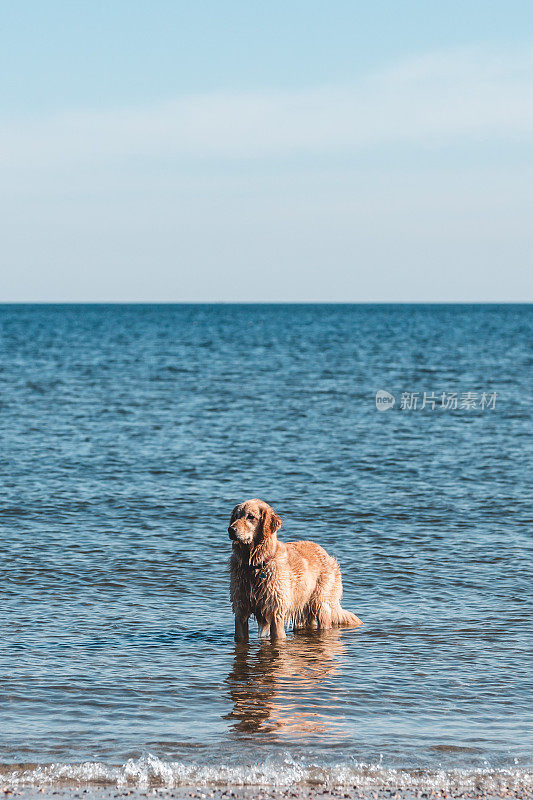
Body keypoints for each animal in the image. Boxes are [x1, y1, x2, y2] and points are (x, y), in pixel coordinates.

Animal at [229, 496, 362, 640]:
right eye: (236, 516)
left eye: (250, 517)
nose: (231, 529)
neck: (255, 565)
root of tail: (326, 553)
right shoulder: (240, 611)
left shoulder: (276, 612)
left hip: (321, 604)